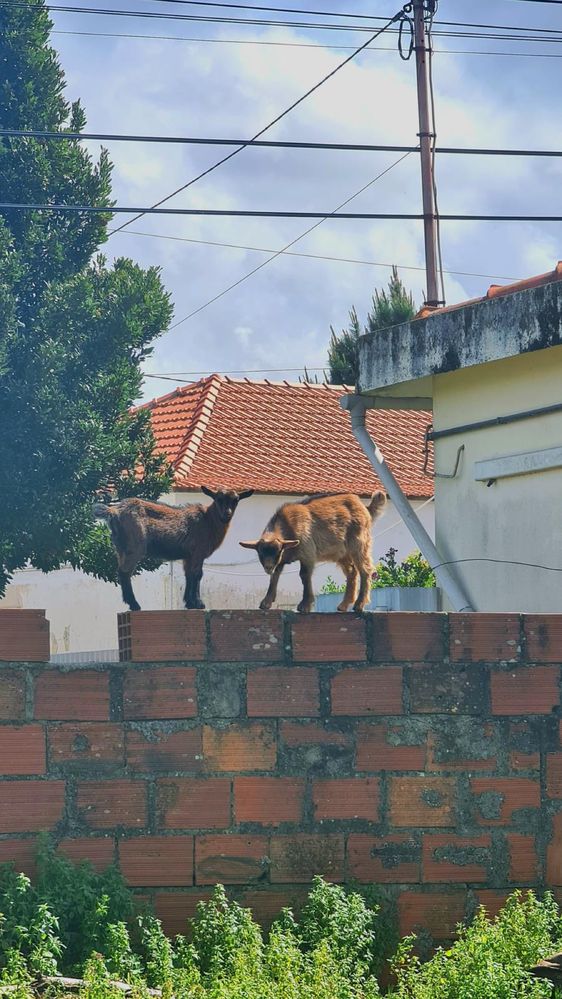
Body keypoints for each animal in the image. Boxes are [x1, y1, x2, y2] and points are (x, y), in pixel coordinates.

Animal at [93, 488, 252, 612]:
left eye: (236, 500)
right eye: (218, 499)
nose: (227, 514)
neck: (208, 520)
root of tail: (114, 511)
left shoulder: (188, 556)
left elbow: (188, 575)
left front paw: (189, 603)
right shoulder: (198, 552)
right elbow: (197, 575)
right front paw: (198, 603)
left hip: (120, 547)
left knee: (121, 571)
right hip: (134, 546)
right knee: (125, 572)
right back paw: (135, 605)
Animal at [238, 490, 388, 612]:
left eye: (278, 551)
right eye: (260, 552)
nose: (268, 567)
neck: (288, 525)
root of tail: (365, 508)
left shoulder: (307, 553)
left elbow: (304, 575)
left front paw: (305, 605)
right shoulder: (281, 560)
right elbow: (275, 576)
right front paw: (266, 602)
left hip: (359, 544)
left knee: (365, 570)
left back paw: (359, 604)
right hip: (342, 553)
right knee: (352, 572)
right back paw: (344, 605)